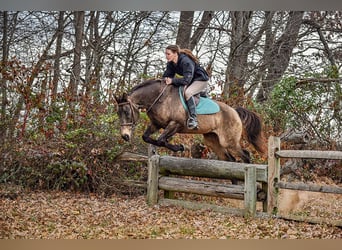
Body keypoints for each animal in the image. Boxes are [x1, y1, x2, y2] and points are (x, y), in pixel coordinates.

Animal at [115, 78, 268, 164]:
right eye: (118, 113)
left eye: (127, 112)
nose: (125, 136)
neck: (159, 98)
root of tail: (235, 111)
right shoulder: (156, 124)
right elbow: (147, 137)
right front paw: (179, 147)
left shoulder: (175, 124)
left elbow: (160, 140)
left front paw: (180, 147)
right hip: (212, 140)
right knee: (229, 159)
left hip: (229, 142)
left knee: (245, 156)